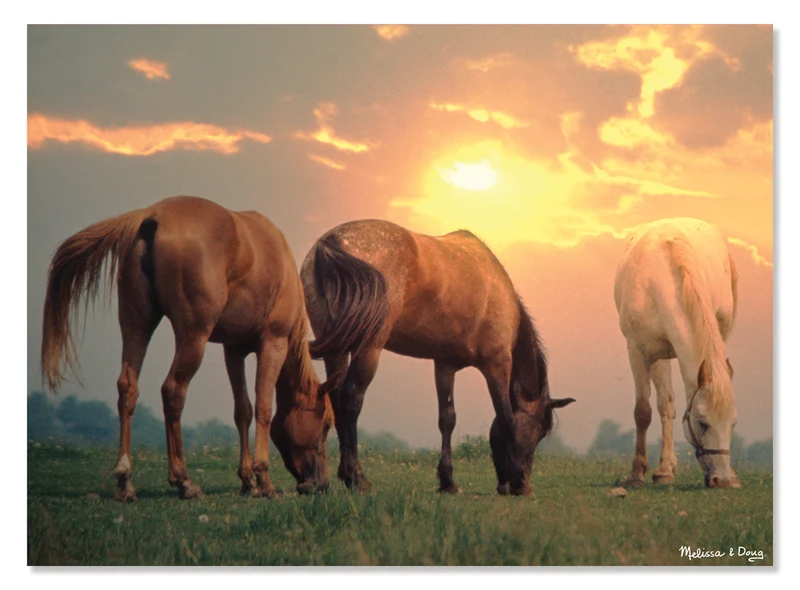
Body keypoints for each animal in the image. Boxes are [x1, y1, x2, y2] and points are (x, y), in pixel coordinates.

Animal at [41, 196, 336, 501]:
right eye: (326, 424)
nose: (321, 483)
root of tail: (151, 216)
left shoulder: (233, 351)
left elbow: (242, 410)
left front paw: (247, 481)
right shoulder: (272, 343)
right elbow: (264, 408)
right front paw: (263, 480)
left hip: (137, 327)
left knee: (128, 388)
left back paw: (125, 480)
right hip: (193, 338)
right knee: (173, 391)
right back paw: (183, 480)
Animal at [300, 220, 575, 496]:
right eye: (539, 431)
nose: (524, 481)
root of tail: (332, 242)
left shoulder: (445, 365)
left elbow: (447, 419)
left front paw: (448, 481)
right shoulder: (497, 364)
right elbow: (506, 417)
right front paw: (517, 481)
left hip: (336, 349)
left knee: (336, 399)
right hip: (369, 348)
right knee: (351, 399)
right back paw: (356, 477)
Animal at [614, 217, 740, 489]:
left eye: (733, 424)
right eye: (702, 423)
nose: (723, 480)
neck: (658, 283)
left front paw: (661, 471)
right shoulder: (639, 353)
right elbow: (644, 411)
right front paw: (637, 473)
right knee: (665, 405)